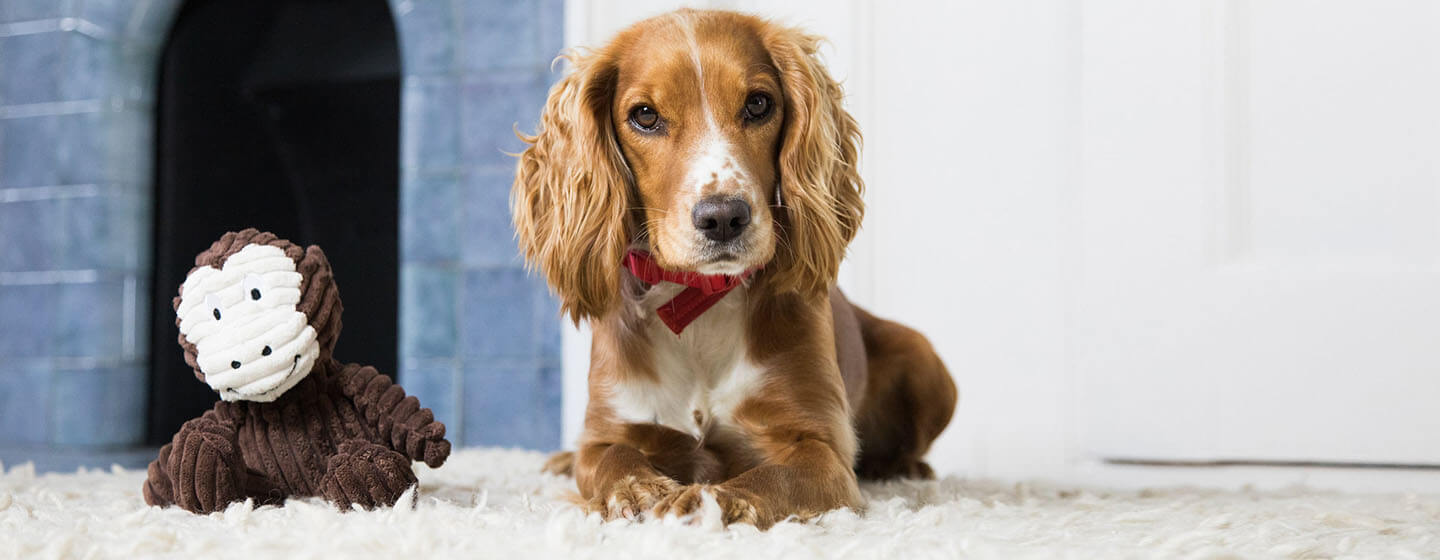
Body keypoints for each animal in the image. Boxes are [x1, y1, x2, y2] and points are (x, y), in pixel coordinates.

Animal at [509, 6, 956, 526]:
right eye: (645, 115)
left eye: (759, 104)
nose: (723, 217)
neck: (697, 302)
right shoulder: (612, 427)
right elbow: (610, 459)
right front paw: (640, 491)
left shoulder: (821, 450)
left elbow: (770, 477)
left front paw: (706, 500)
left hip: (925, 359)